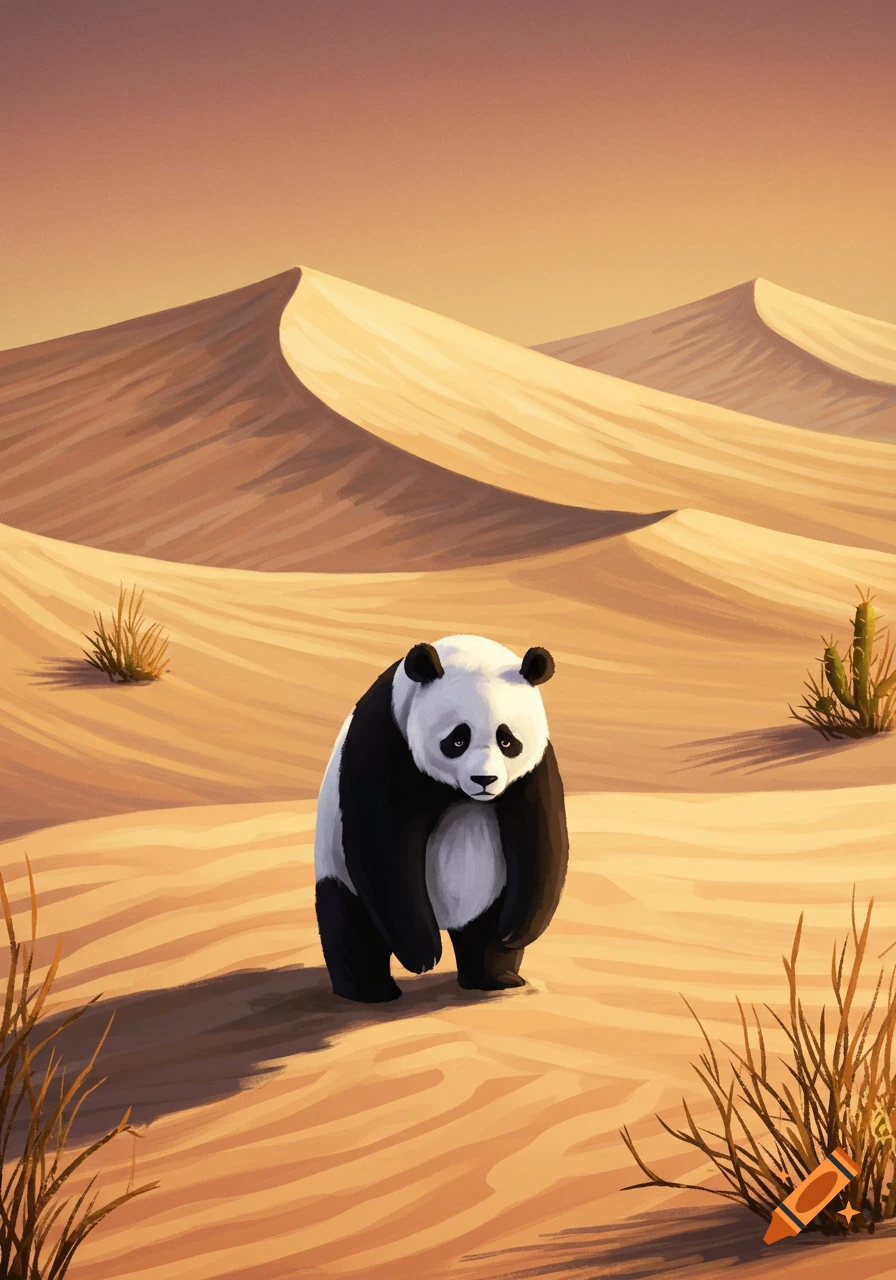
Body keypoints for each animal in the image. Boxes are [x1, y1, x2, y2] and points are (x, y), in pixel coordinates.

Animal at [313, 633, 568, 1003]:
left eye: (507, 741)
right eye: (457, 740)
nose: (484, 780)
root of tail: (450, 919)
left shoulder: (534, 768)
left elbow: (542, 839)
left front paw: (516, 931)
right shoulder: (388, 741)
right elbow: (383, 846)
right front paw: (422, 954)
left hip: (493, 889)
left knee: (485, 936)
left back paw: (495, 977)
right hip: (338, 870)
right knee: (350, 926)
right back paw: (371, 991)